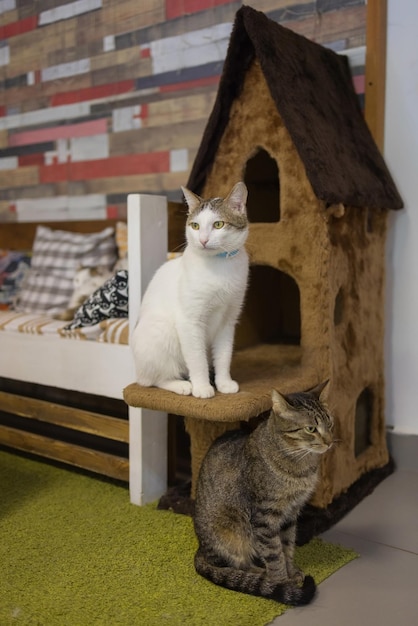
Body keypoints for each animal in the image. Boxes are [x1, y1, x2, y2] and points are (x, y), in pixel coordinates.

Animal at [131, 182, 248, 394]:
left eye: (218, 224)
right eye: (195, 226)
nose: (203, 240)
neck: (219, 267)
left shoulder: (228, 321)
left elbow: (224, 355)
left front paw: (224, 383)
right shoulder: (189, 322)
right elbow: (197, 358)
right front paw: (202, 387)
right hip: (162, 332)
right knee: (153, 380)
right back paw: (182, 385)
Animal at [194, 380, 334, 604]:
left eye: (330, 424)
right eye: (311, 428)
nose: (329, 442)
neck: (300, 465)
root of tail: (201, 549)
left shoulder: (290, 514)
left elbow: (287, 546)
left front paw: (291, 571)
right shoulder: (264, 518)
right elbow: (274, 553)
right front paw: (282, 582)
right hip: (232, 534)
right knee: (234, 565)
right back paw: (259, 574)